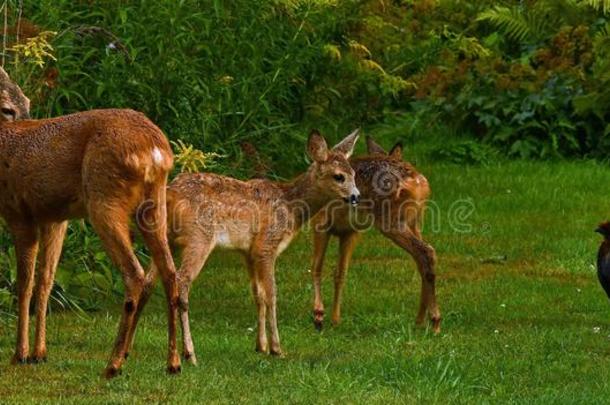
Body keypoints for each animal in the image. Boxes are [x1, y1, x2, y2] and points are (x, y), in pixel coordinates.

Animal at [0, 67, 180, 376]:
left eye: (23, 102)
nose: (26, 116)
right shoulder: (55, 218)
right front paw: (39, 353)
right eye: (12, 105)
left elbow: (24, 283)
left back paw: (114, 364)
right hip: (154, 204)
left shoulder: (19, 212)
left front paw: (20, 354)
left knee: (134, 274)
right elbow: (45, 281)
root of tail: (156, 151)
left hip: (104, 200)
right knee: (169, 272)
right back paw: (174, 362)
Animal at [151, 129, 356, 362]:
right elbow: (272, 294)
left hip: (168, 237)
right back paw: (190, 353)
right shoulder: (267, 245)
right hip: (199, 237)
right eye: (339, 176)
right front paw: (277, 348)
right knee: (182, 280)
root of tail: (170, 194)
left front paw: (261, 346)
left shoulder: (249, 251)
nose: (355, 196)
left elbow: (258, 294)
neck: (290, 206)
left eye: (354, 173)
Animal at [308, 136, 436, 332]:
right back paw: (421, 320)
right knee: (422, 260)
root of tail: (419, 182)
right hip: (415, 222)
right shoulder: (351, 232)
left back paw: (434, 321)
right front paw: (335, 320)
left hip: (391, 221)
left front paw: (319, 317)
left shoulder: (321, 223)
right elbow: (340, 273)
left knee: (426, 252)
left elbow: (316, 267)